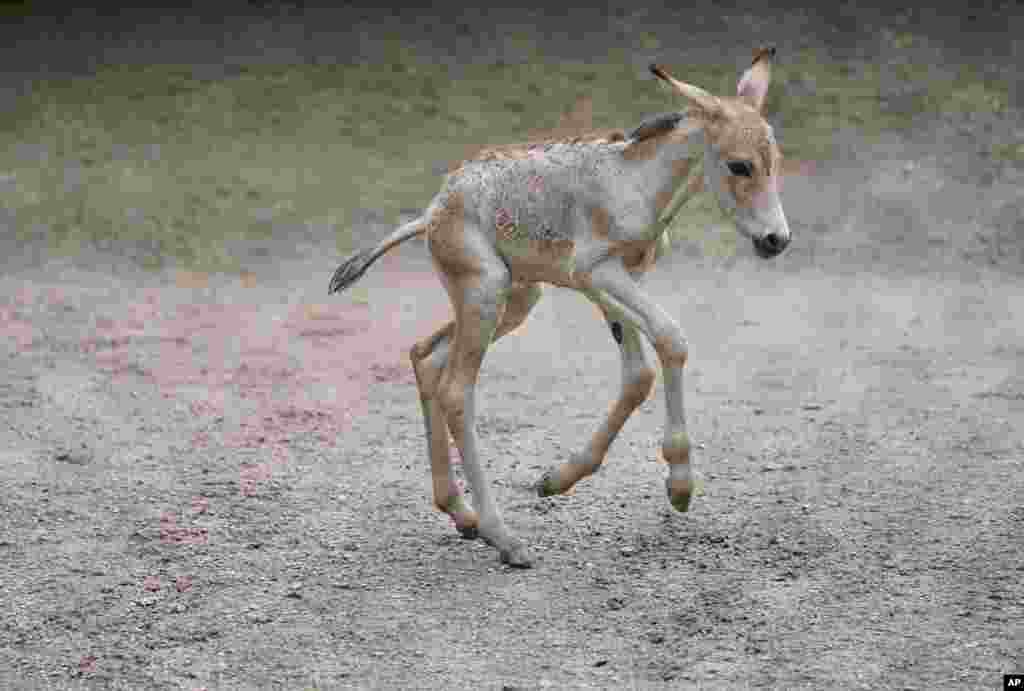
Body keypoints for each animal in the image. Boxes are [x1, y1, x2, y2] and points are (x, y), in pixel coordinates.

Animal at [327, 47, 790, 569]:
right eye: (739, 166)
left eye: (775, 161)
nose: (776, 240)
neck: (637, 183)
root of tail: (433, 212)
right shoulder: (598, 272)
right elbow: (671, 338)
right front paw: (680, 484)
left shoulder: (612, 280)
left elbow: (638, 374)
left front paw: (558, 479)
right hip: (485, 292)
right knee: (456, 392)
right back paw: (503, 538)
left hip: (514, 300)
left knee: (426, 357)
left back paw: (461, 514)